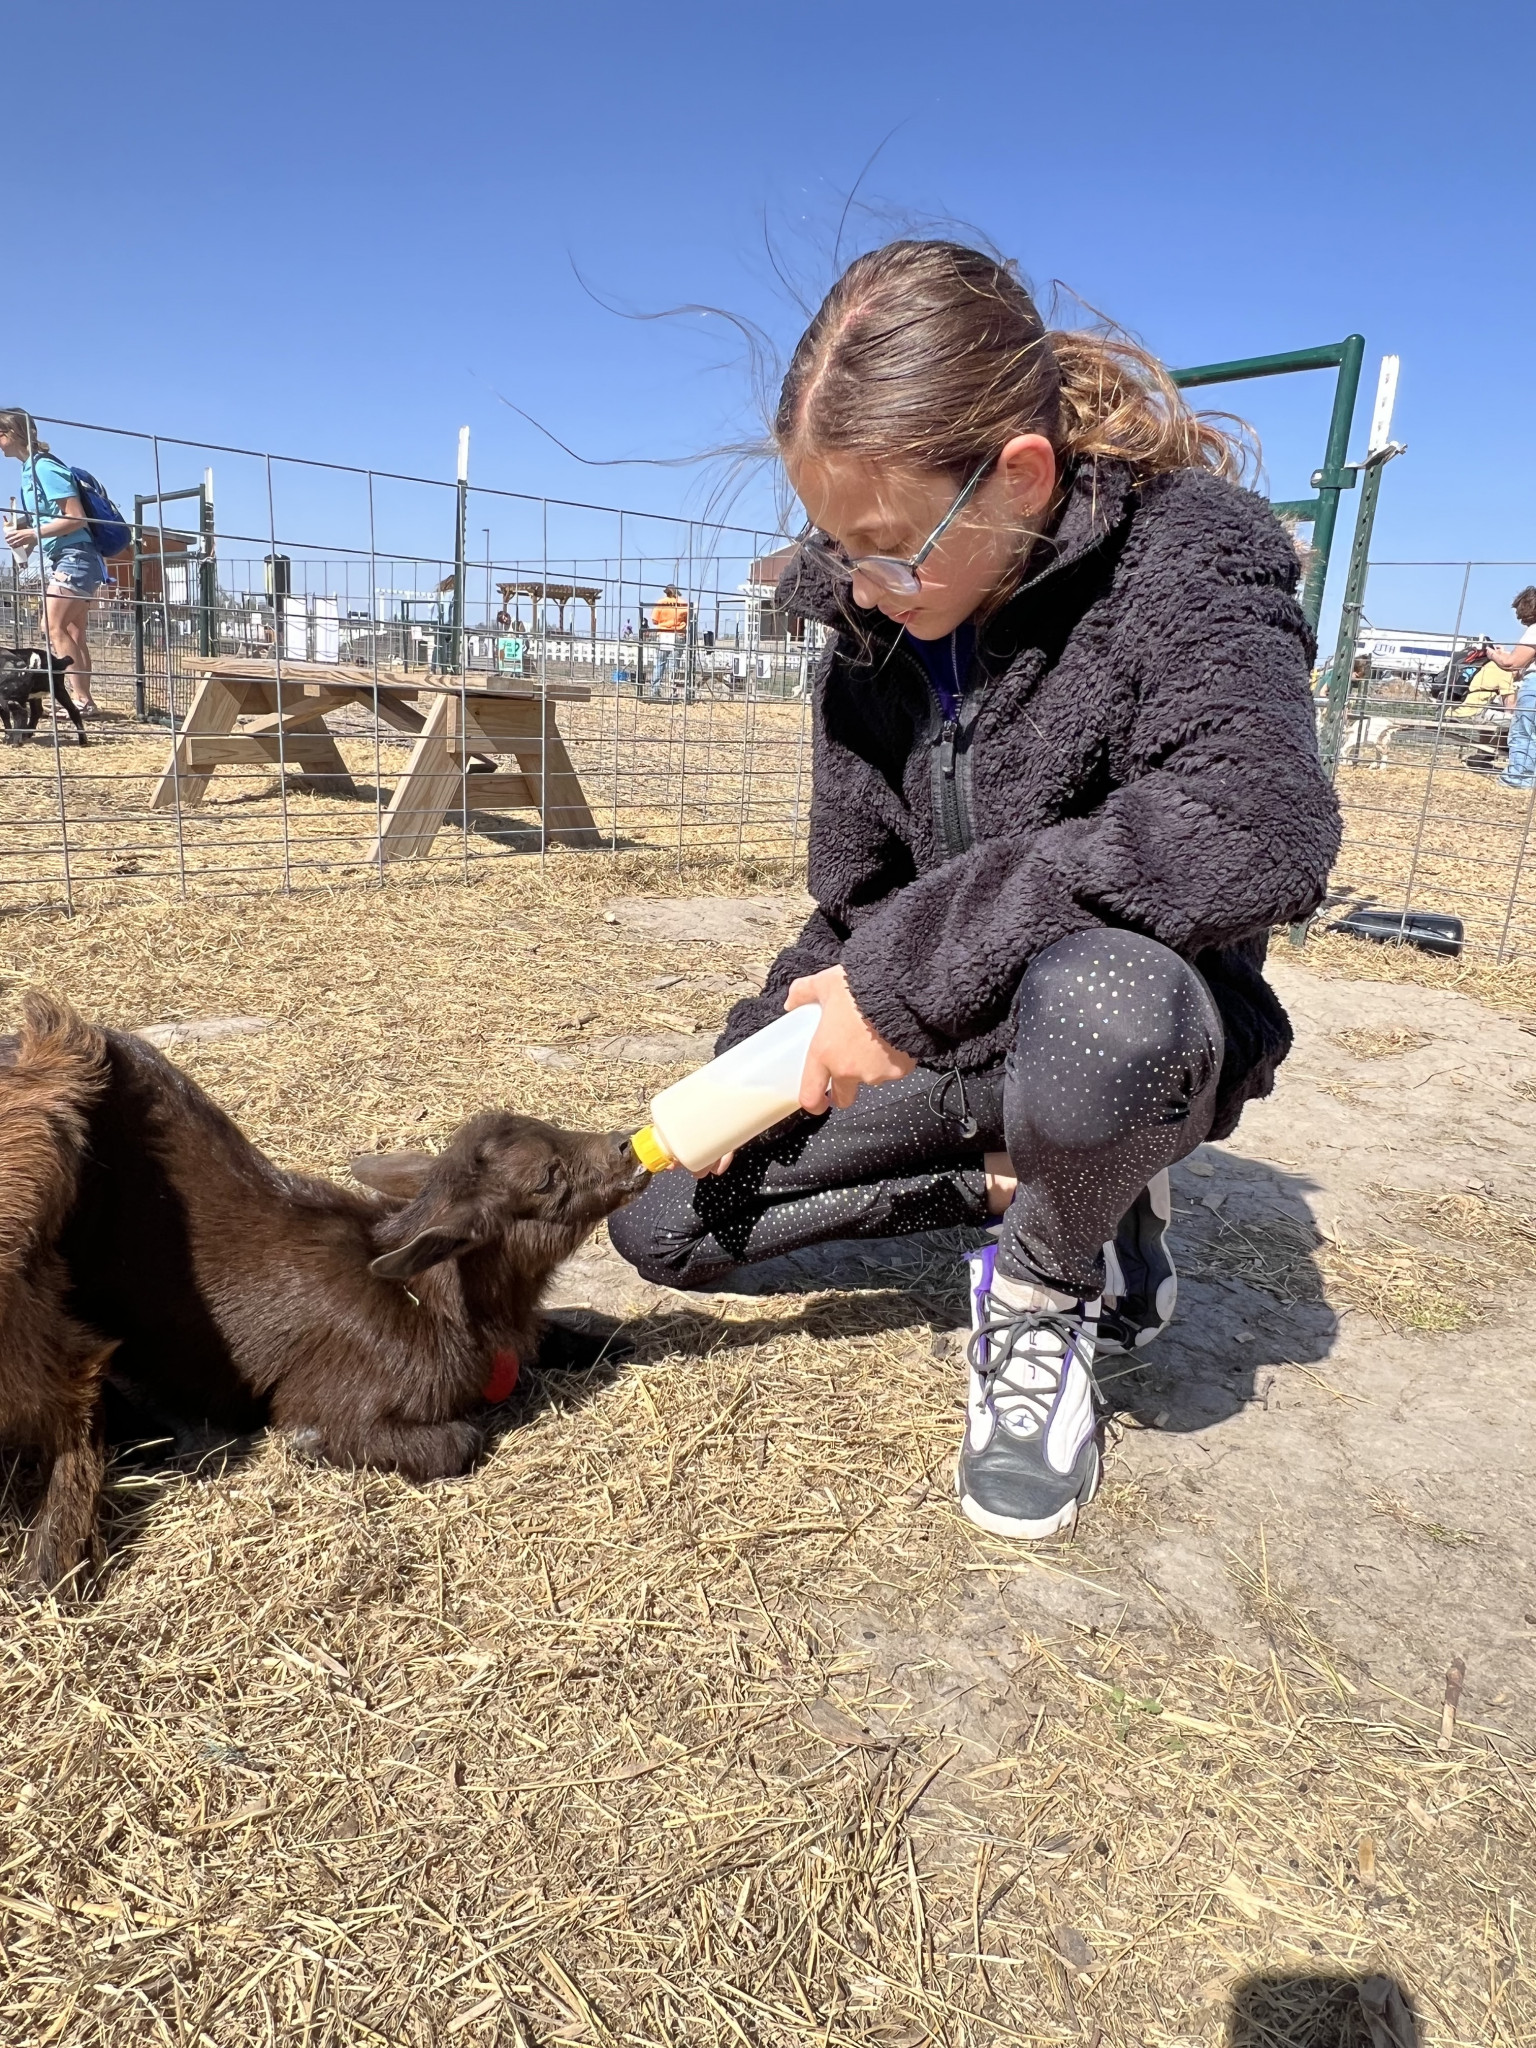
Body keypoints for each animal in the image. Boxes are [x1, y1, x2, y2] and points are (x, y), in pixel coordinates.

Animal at [0, 991, 650, 1593]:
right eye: (546, 1178)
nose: (626, 1146)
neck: (438, 1307)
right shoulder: (344, 1395)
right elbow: (458, 1440)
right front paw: (311, 1445)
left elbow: (569, 1334)